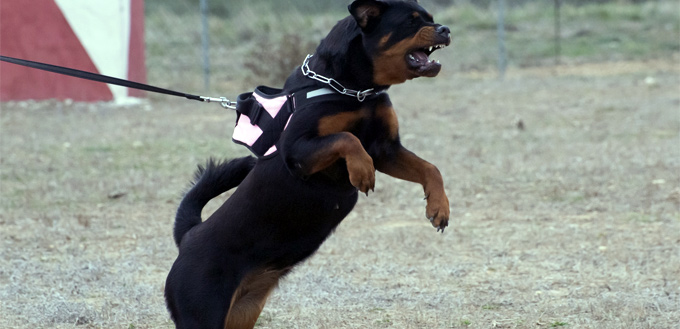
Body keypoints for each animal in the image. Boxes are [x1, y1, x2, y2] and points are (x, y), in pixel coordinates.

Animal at [165, 1, 452, 326]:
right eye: (411, 22)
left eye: (430, 18)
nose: (445, 29)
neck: (355, 90)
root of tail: (188, 237)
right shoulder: (297, 151)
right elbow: (346, 139)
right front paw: (361, 171)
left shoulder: (386, 150)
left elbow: (430, 168)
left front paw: (439, 207)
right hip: (204, 313)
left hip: (242, 312)